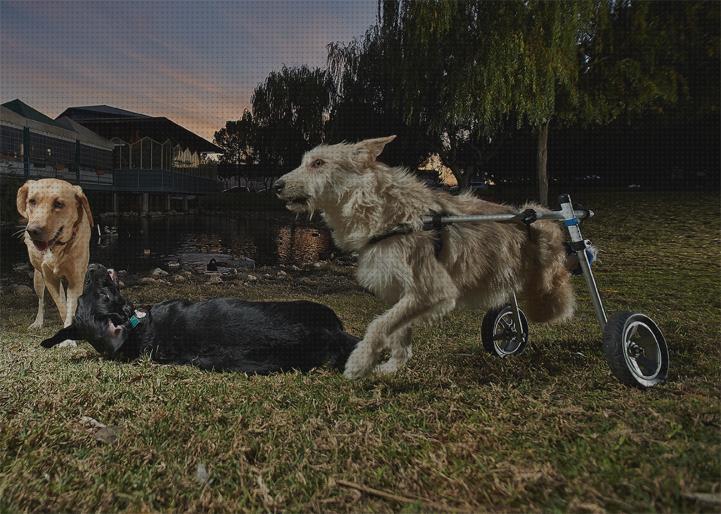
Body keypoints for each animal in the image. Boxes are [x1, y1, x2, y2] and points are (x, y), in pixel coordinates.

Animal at [15, 178, 93, 342]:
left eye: (59, 204)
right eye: (32, 201)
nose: (33, 231)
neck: (56, 248)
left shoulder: (76, 278)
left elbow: (71, 304)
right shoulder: (49, 278)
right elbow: (62, 306)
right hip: (38, 279)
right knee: (41, 301)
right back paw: (38, 322)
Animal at [276, 135, 572, 376]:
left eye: (318, 163)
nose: (276, 184)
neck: (384, 211)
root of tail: (537, 214)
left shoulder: (432, 290)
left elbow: (379, 325)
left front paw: (359, 363)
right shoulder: (406, 292)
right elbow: (397, 331)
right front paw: (391, 366)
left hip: (545, 282)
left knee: (558, 295)